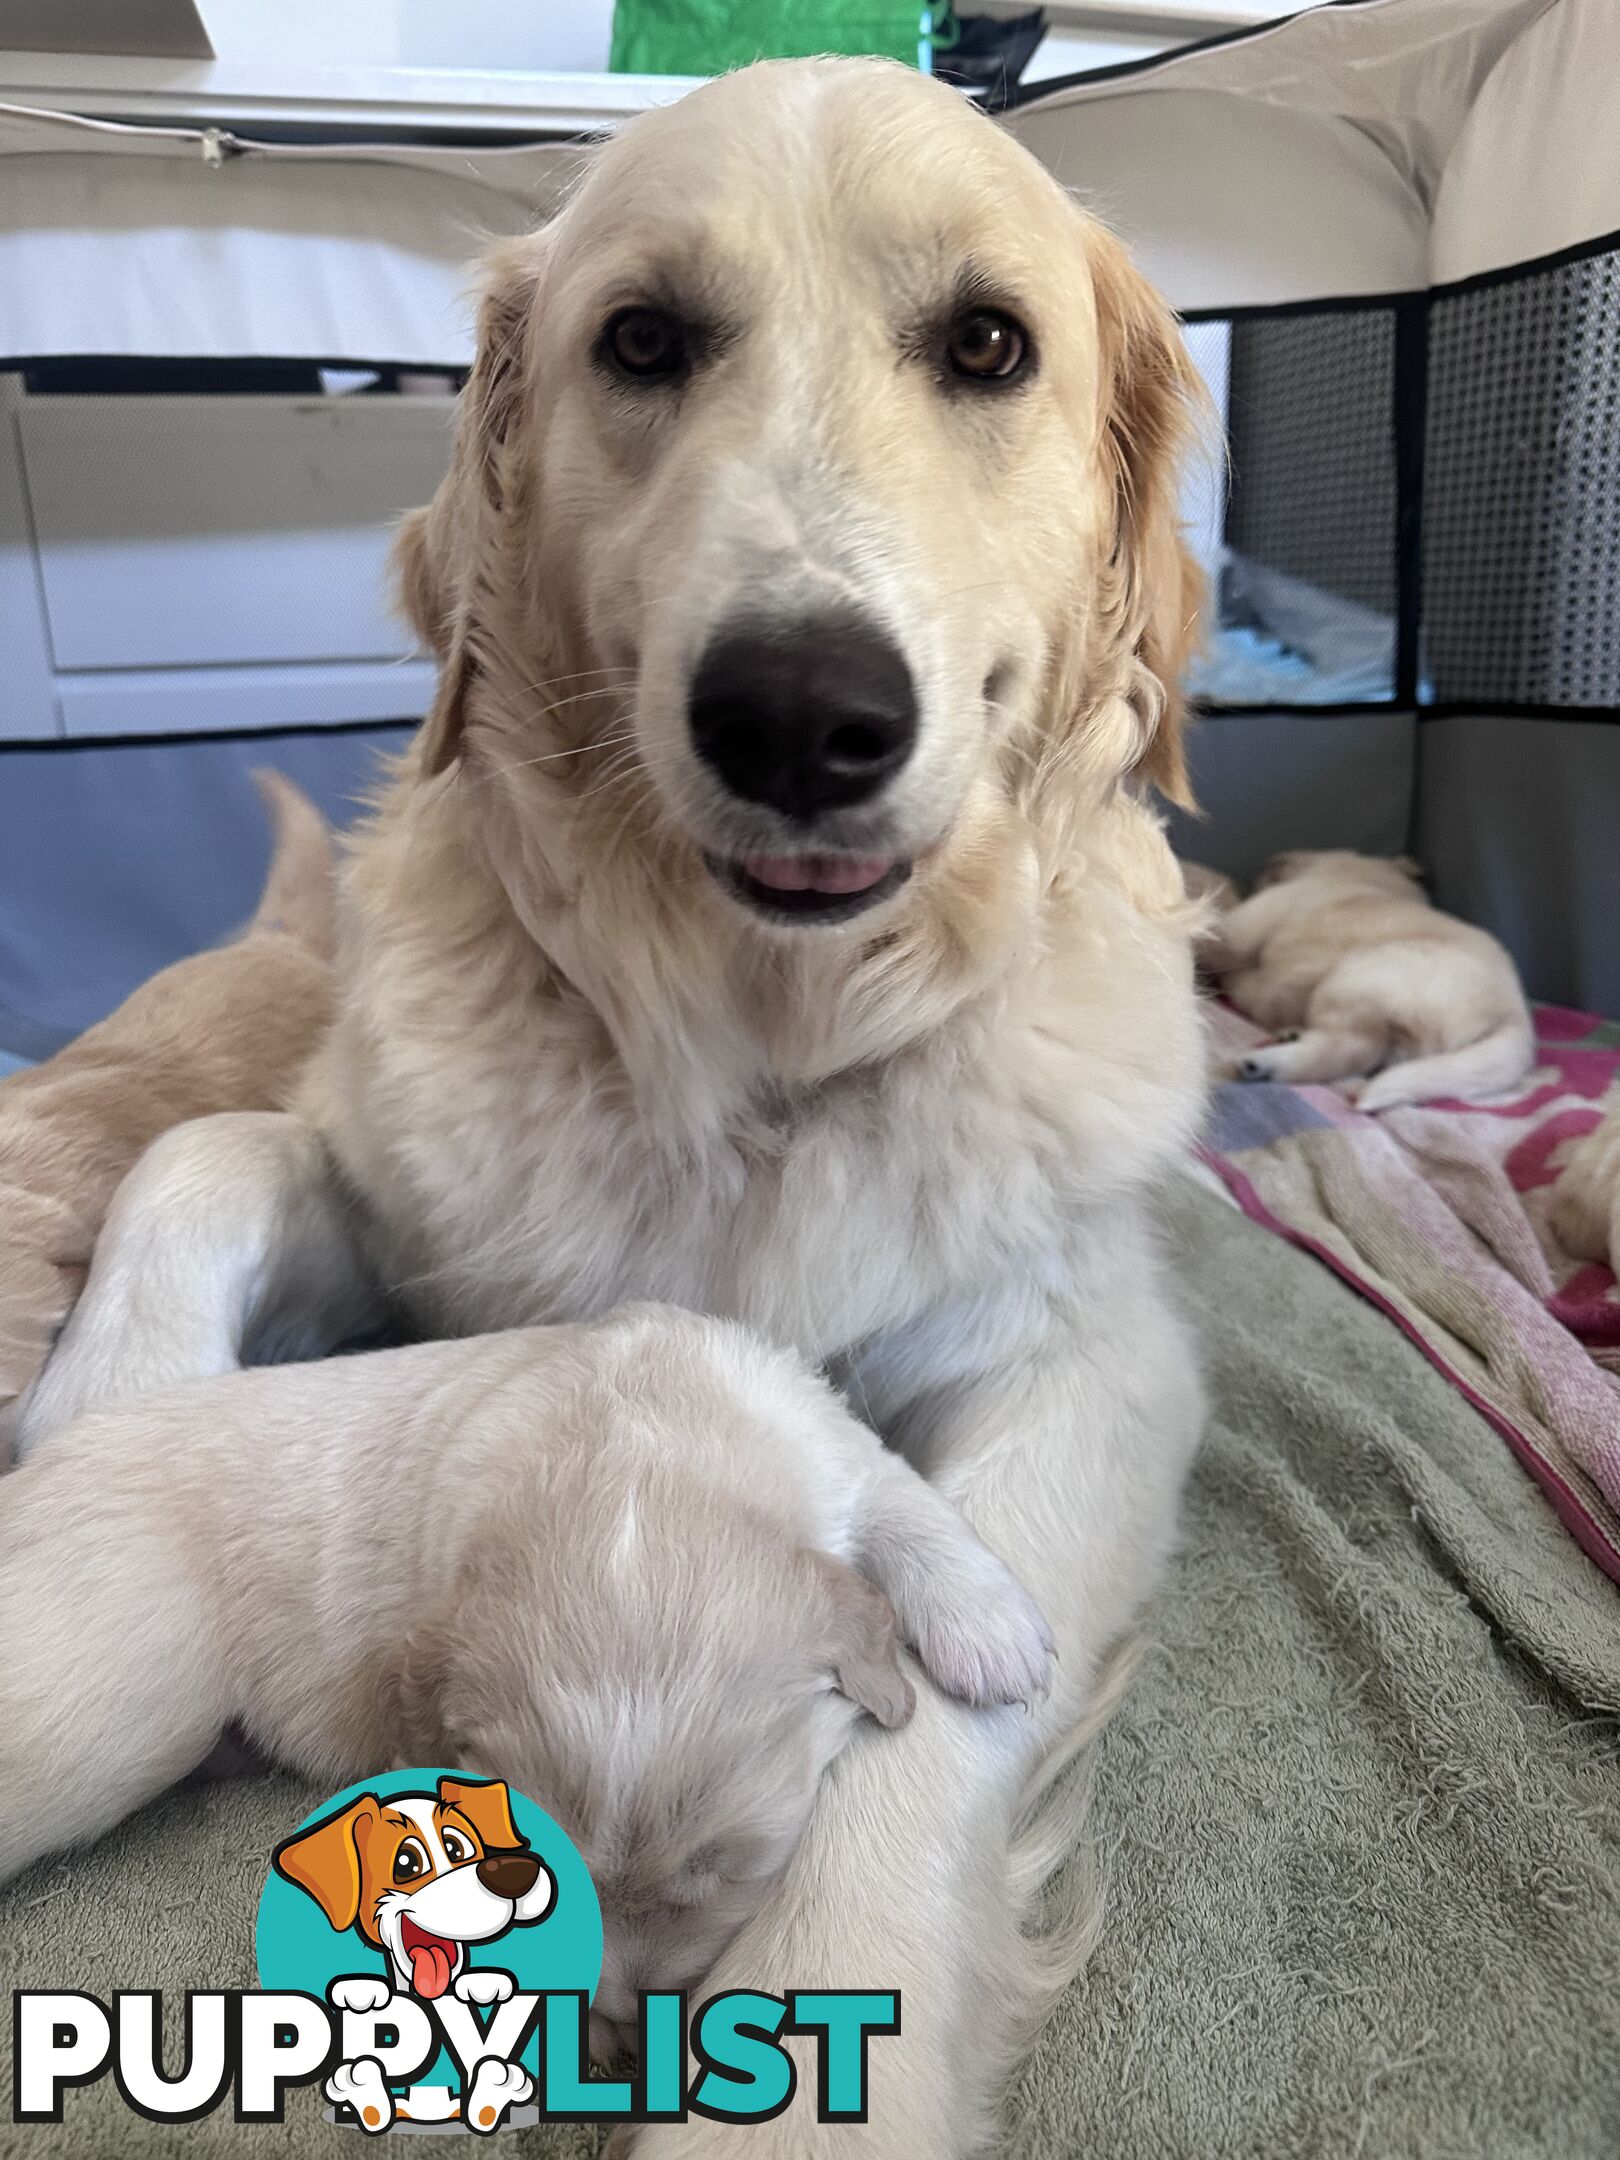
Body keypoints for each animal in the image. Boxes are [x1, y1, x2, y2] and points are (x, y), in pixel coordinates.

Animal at [0, 1287, 1054, 2047]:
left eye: (722, 1868)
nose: (631, 2014)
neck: (642, 1463)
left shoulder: (823, 1436)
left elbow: (903, 1498)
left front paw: (998, 1638)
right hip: (111, 1697)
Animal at [1209, 846, 1537, 1114]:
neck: (1365, 878)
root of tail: (1513, 1016)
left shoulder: (1247, 926)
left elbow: (1224, 937)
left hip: (1355, 977)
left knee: (1353, 1050)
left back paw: (1263, 1062)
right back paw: (1287, 1038)